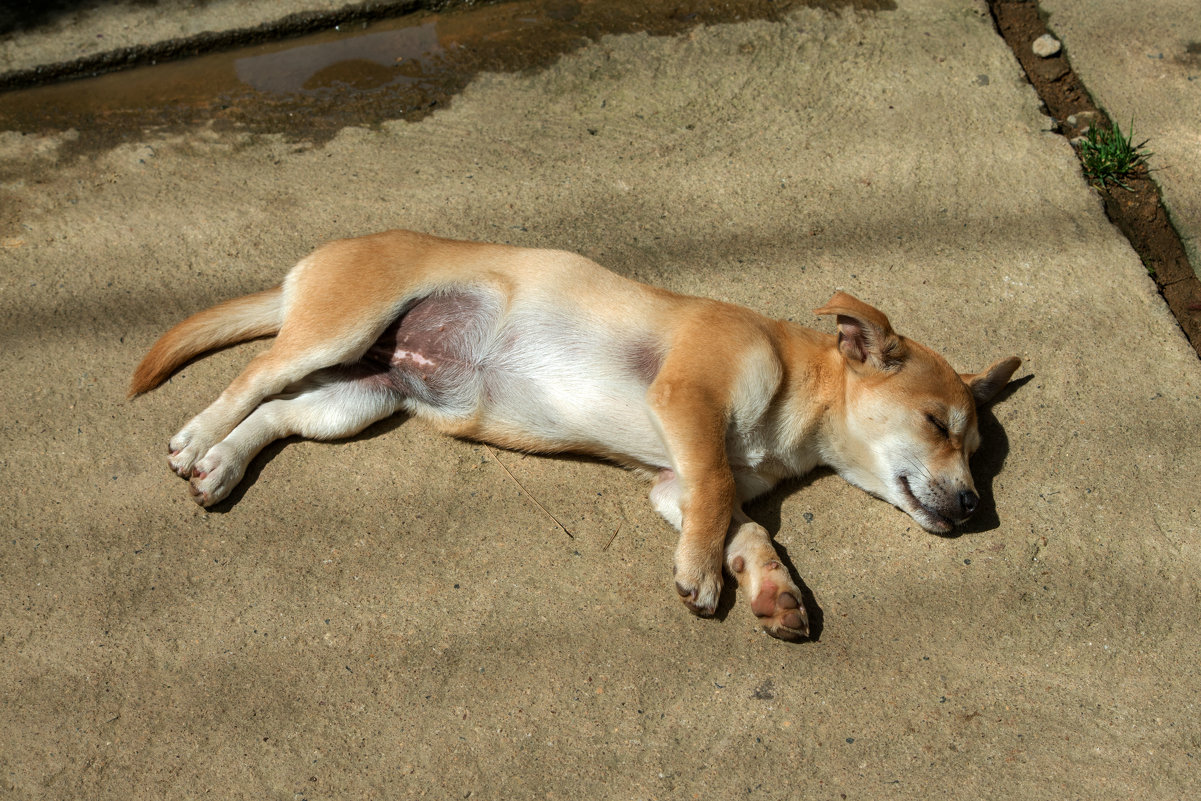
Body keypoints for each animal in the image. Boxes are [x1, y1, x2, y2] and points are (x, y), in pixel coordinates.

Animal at [131, 230, 1018, 638]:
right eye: (937, 424)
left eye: (976, 451)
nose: (973, 506)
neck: (795, 403)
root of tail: (304, 269)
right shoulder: (689, 408)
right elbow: (721, 498)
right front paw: (702, 575)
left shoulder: (674, 483)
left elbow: (747, 529)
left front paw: (768, 588)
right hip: (336, 330)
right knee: (251, 377)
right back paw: (197, 438)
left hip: (361, 394)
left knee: (277, 411)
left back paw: (221, 465)